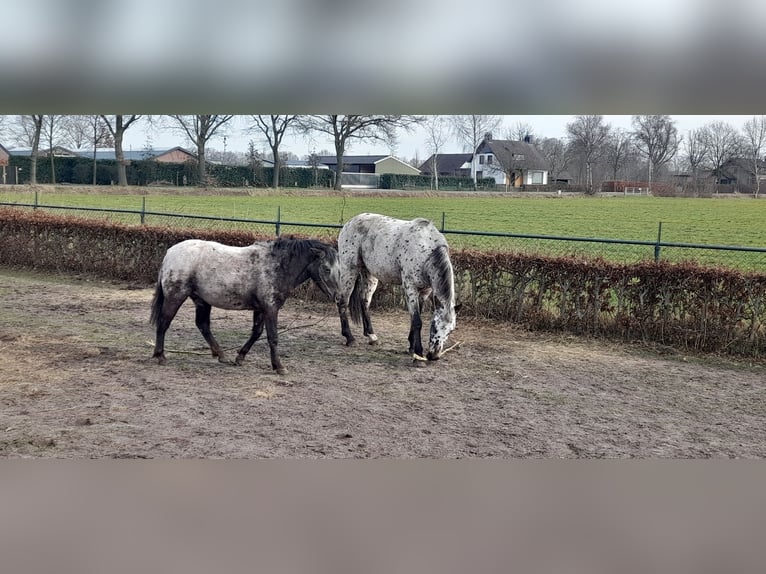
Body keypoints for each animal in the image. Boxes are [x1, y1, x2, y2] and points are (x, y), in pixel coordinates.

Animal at [151, 237, 342, 376]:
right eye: (326, 269)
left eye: (339, 270)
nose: (339, 296)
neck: (277, 266)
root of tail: (170, 253)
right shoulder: (271, 309)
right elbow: (273, 337)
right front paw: (279, 367)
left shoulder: (261, 310)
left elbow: (256, 333)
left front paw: (240, 357)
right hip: (176, 296)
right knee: (164, 323)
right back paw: (160, 356)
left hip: (201, 300)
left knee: (203, 325)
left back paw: (221, 355)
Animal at [334, 214, 456, 362]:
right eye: (434, 326)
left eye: (450, 331)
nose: (434, 356)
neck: (426, 249)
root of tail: (350, 222)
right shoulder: (410, 287)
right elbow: (417, 321)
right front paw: (418, 353)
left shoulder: (425, 291)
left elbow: (415, 317)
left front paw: (411, 346)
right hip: (349, 270)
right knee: (342, 301)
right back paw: (349, 338)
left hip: (369, 274)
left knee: (364, 302)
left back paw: (372, 336)